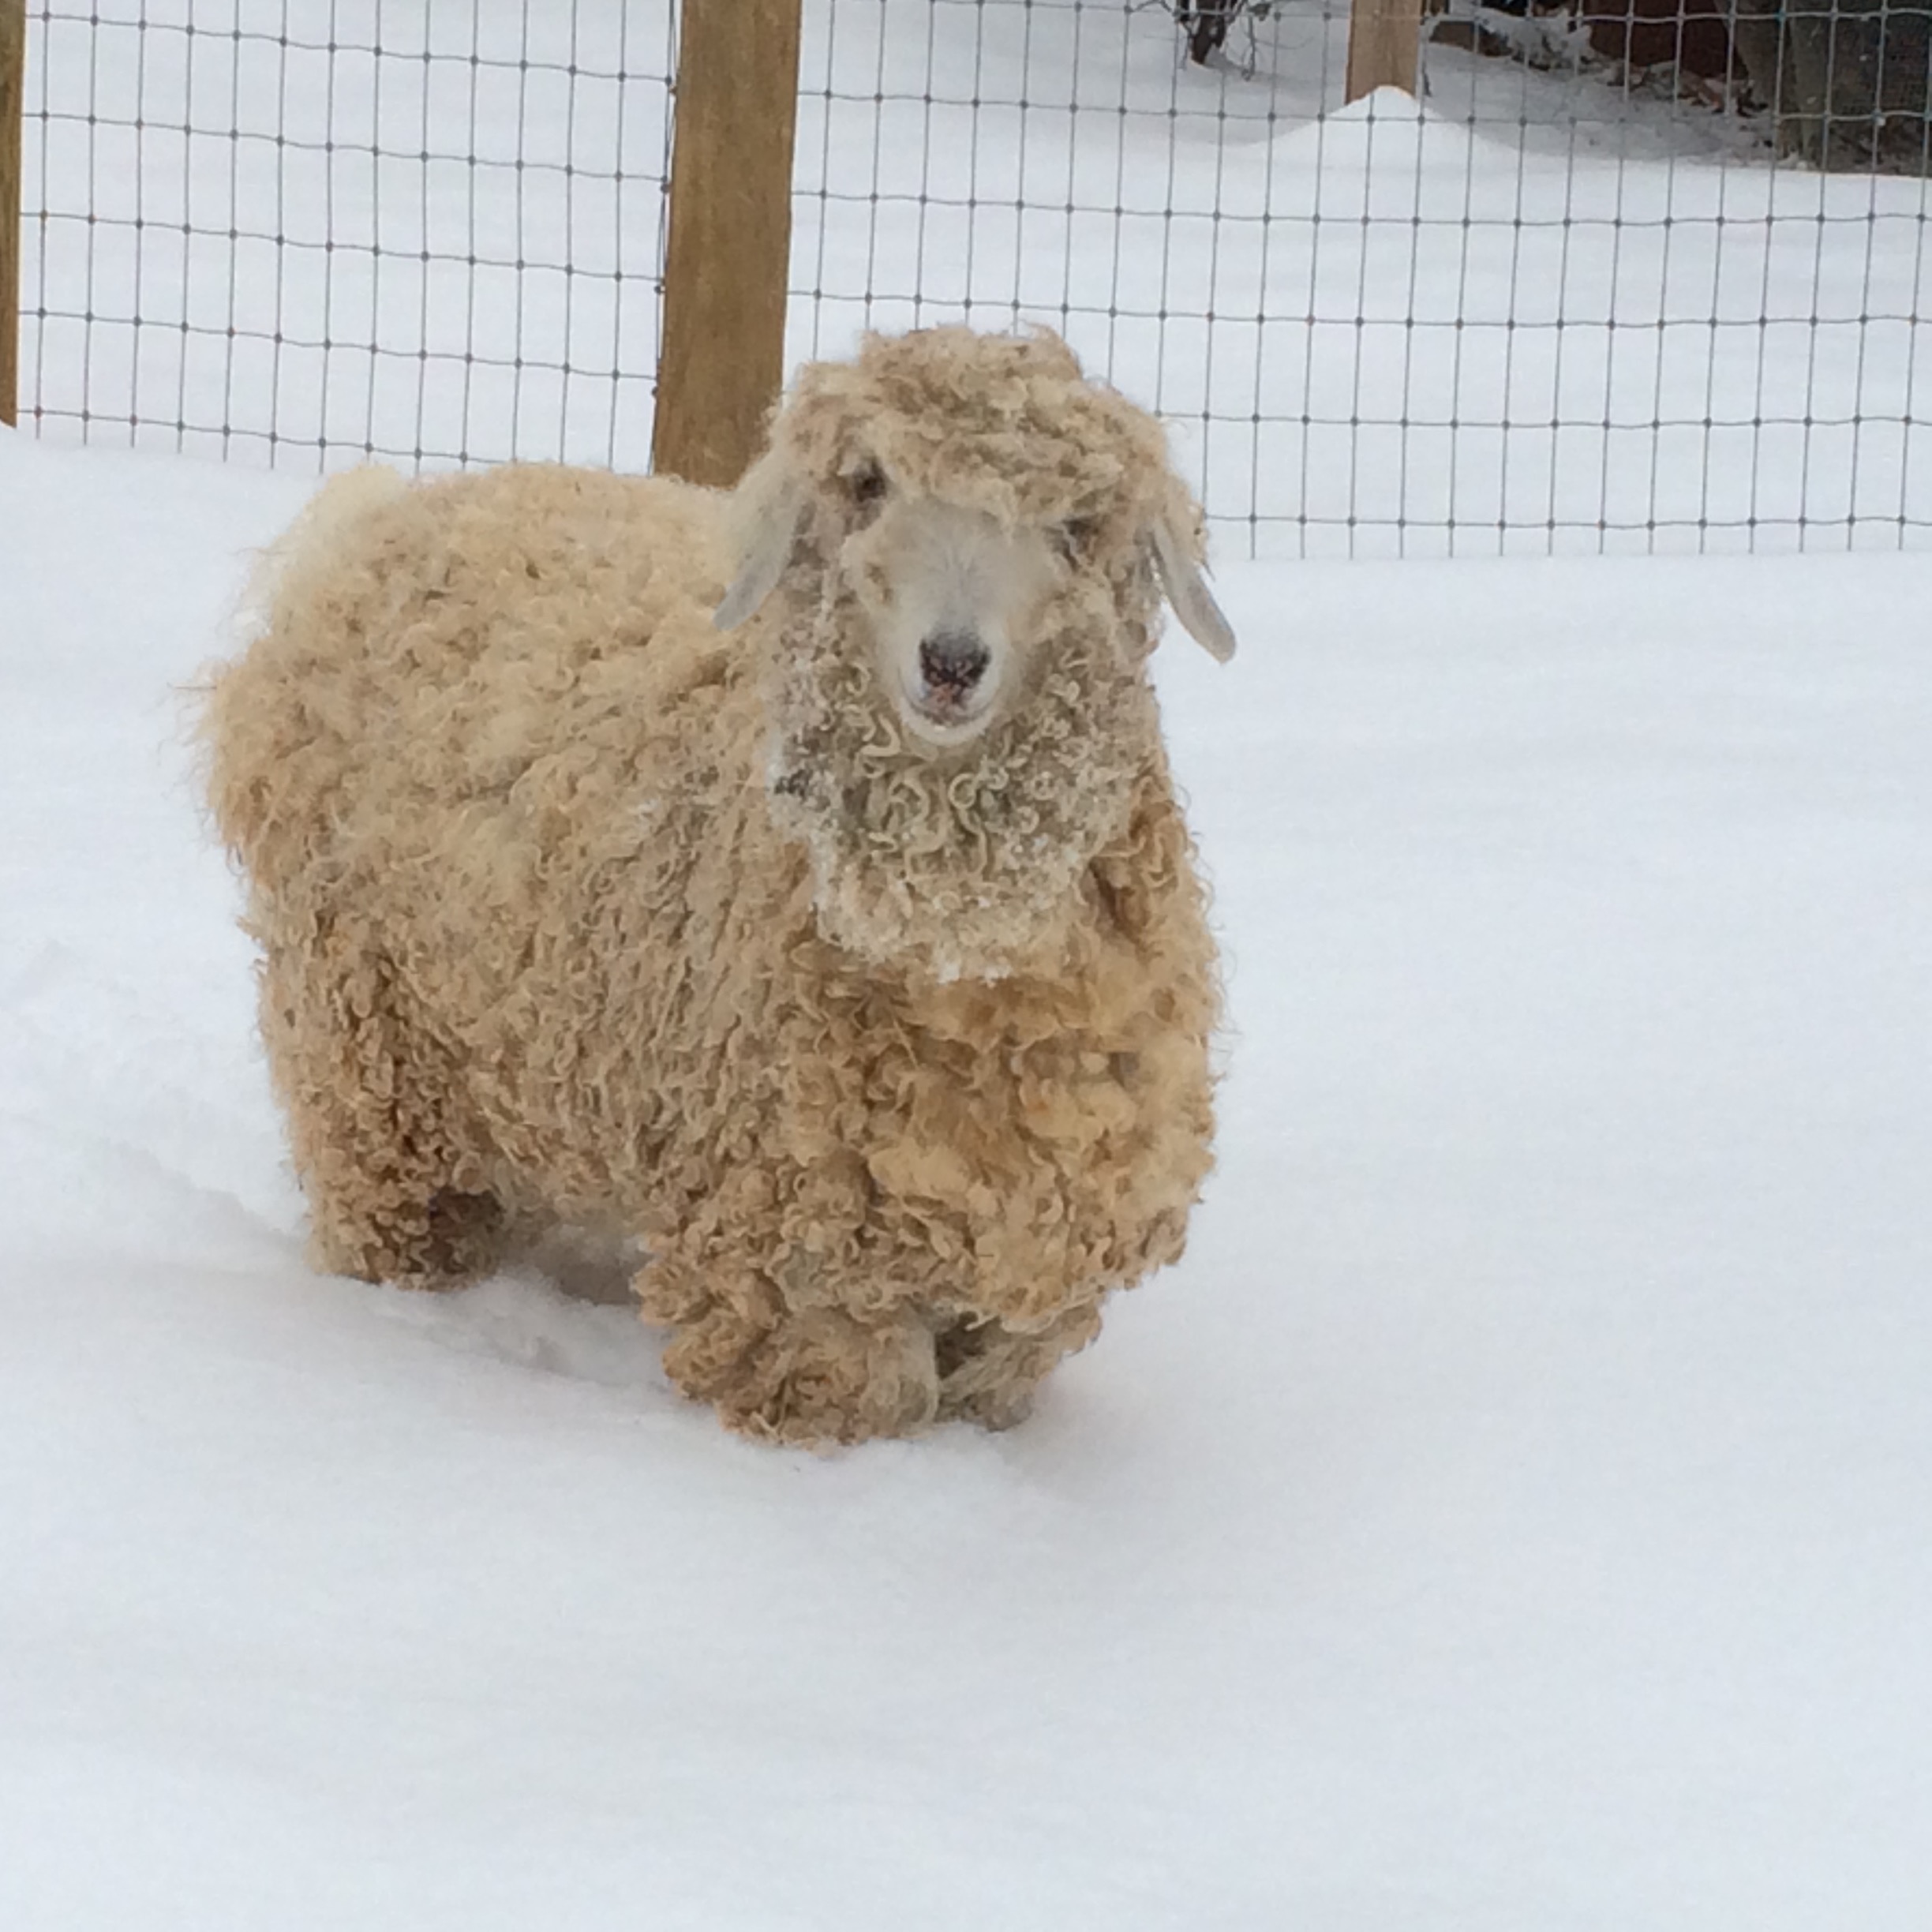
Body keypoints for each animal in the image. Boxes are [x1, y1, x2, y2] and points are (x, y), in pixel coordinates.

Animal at [204, 324, 1236, 1445]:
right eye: (867, 483)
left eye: (1078, 524)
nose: (952, 663)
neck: (961, 960)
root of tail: (377, 517)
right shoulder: (792, 1263)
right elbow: (873, 1396)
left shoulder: (1040, 1250)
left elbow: (996, 1369)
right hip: (369, 1055)